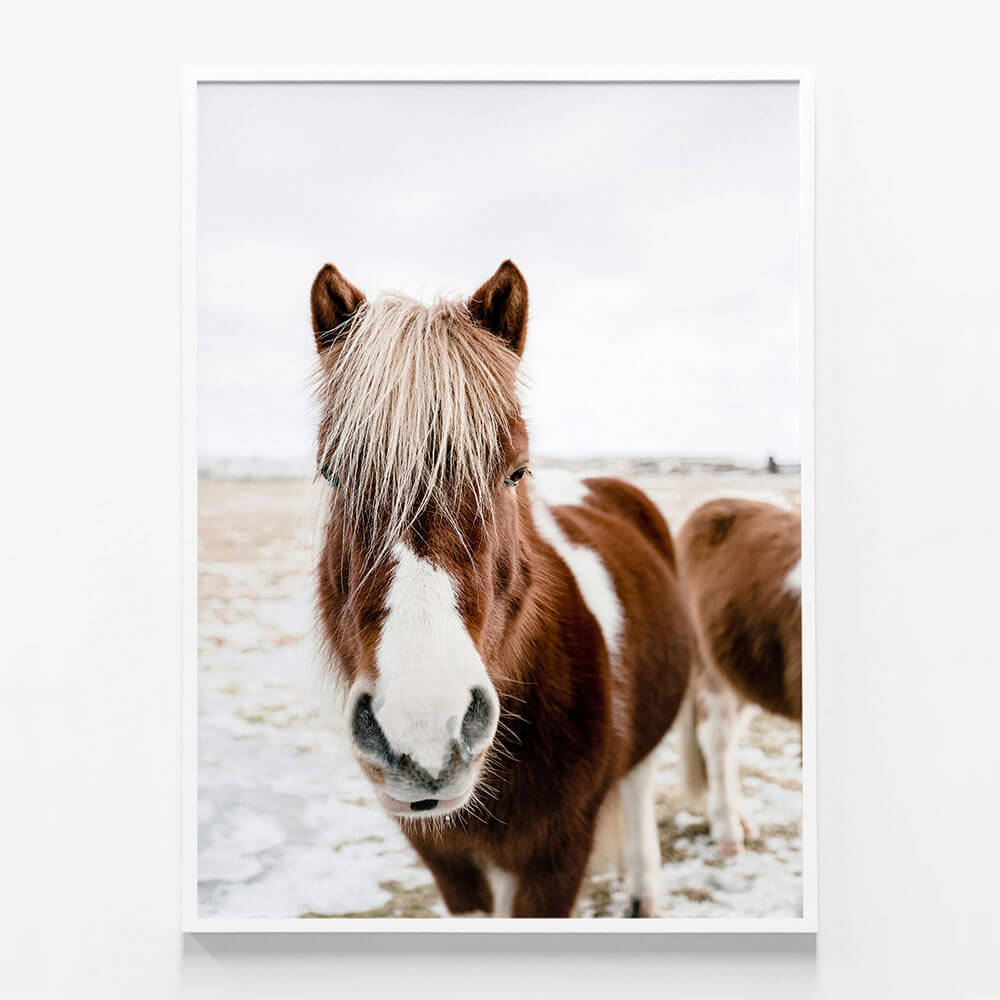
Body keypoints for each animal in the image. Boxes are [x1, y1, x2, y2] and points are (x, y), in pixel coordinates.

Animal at [309, 260, 694, 917]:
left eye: (515, 471)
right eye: (332, 473)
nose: (423, 732)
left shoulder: (557, 860)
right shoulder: (449, 864)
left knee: (639, 786)